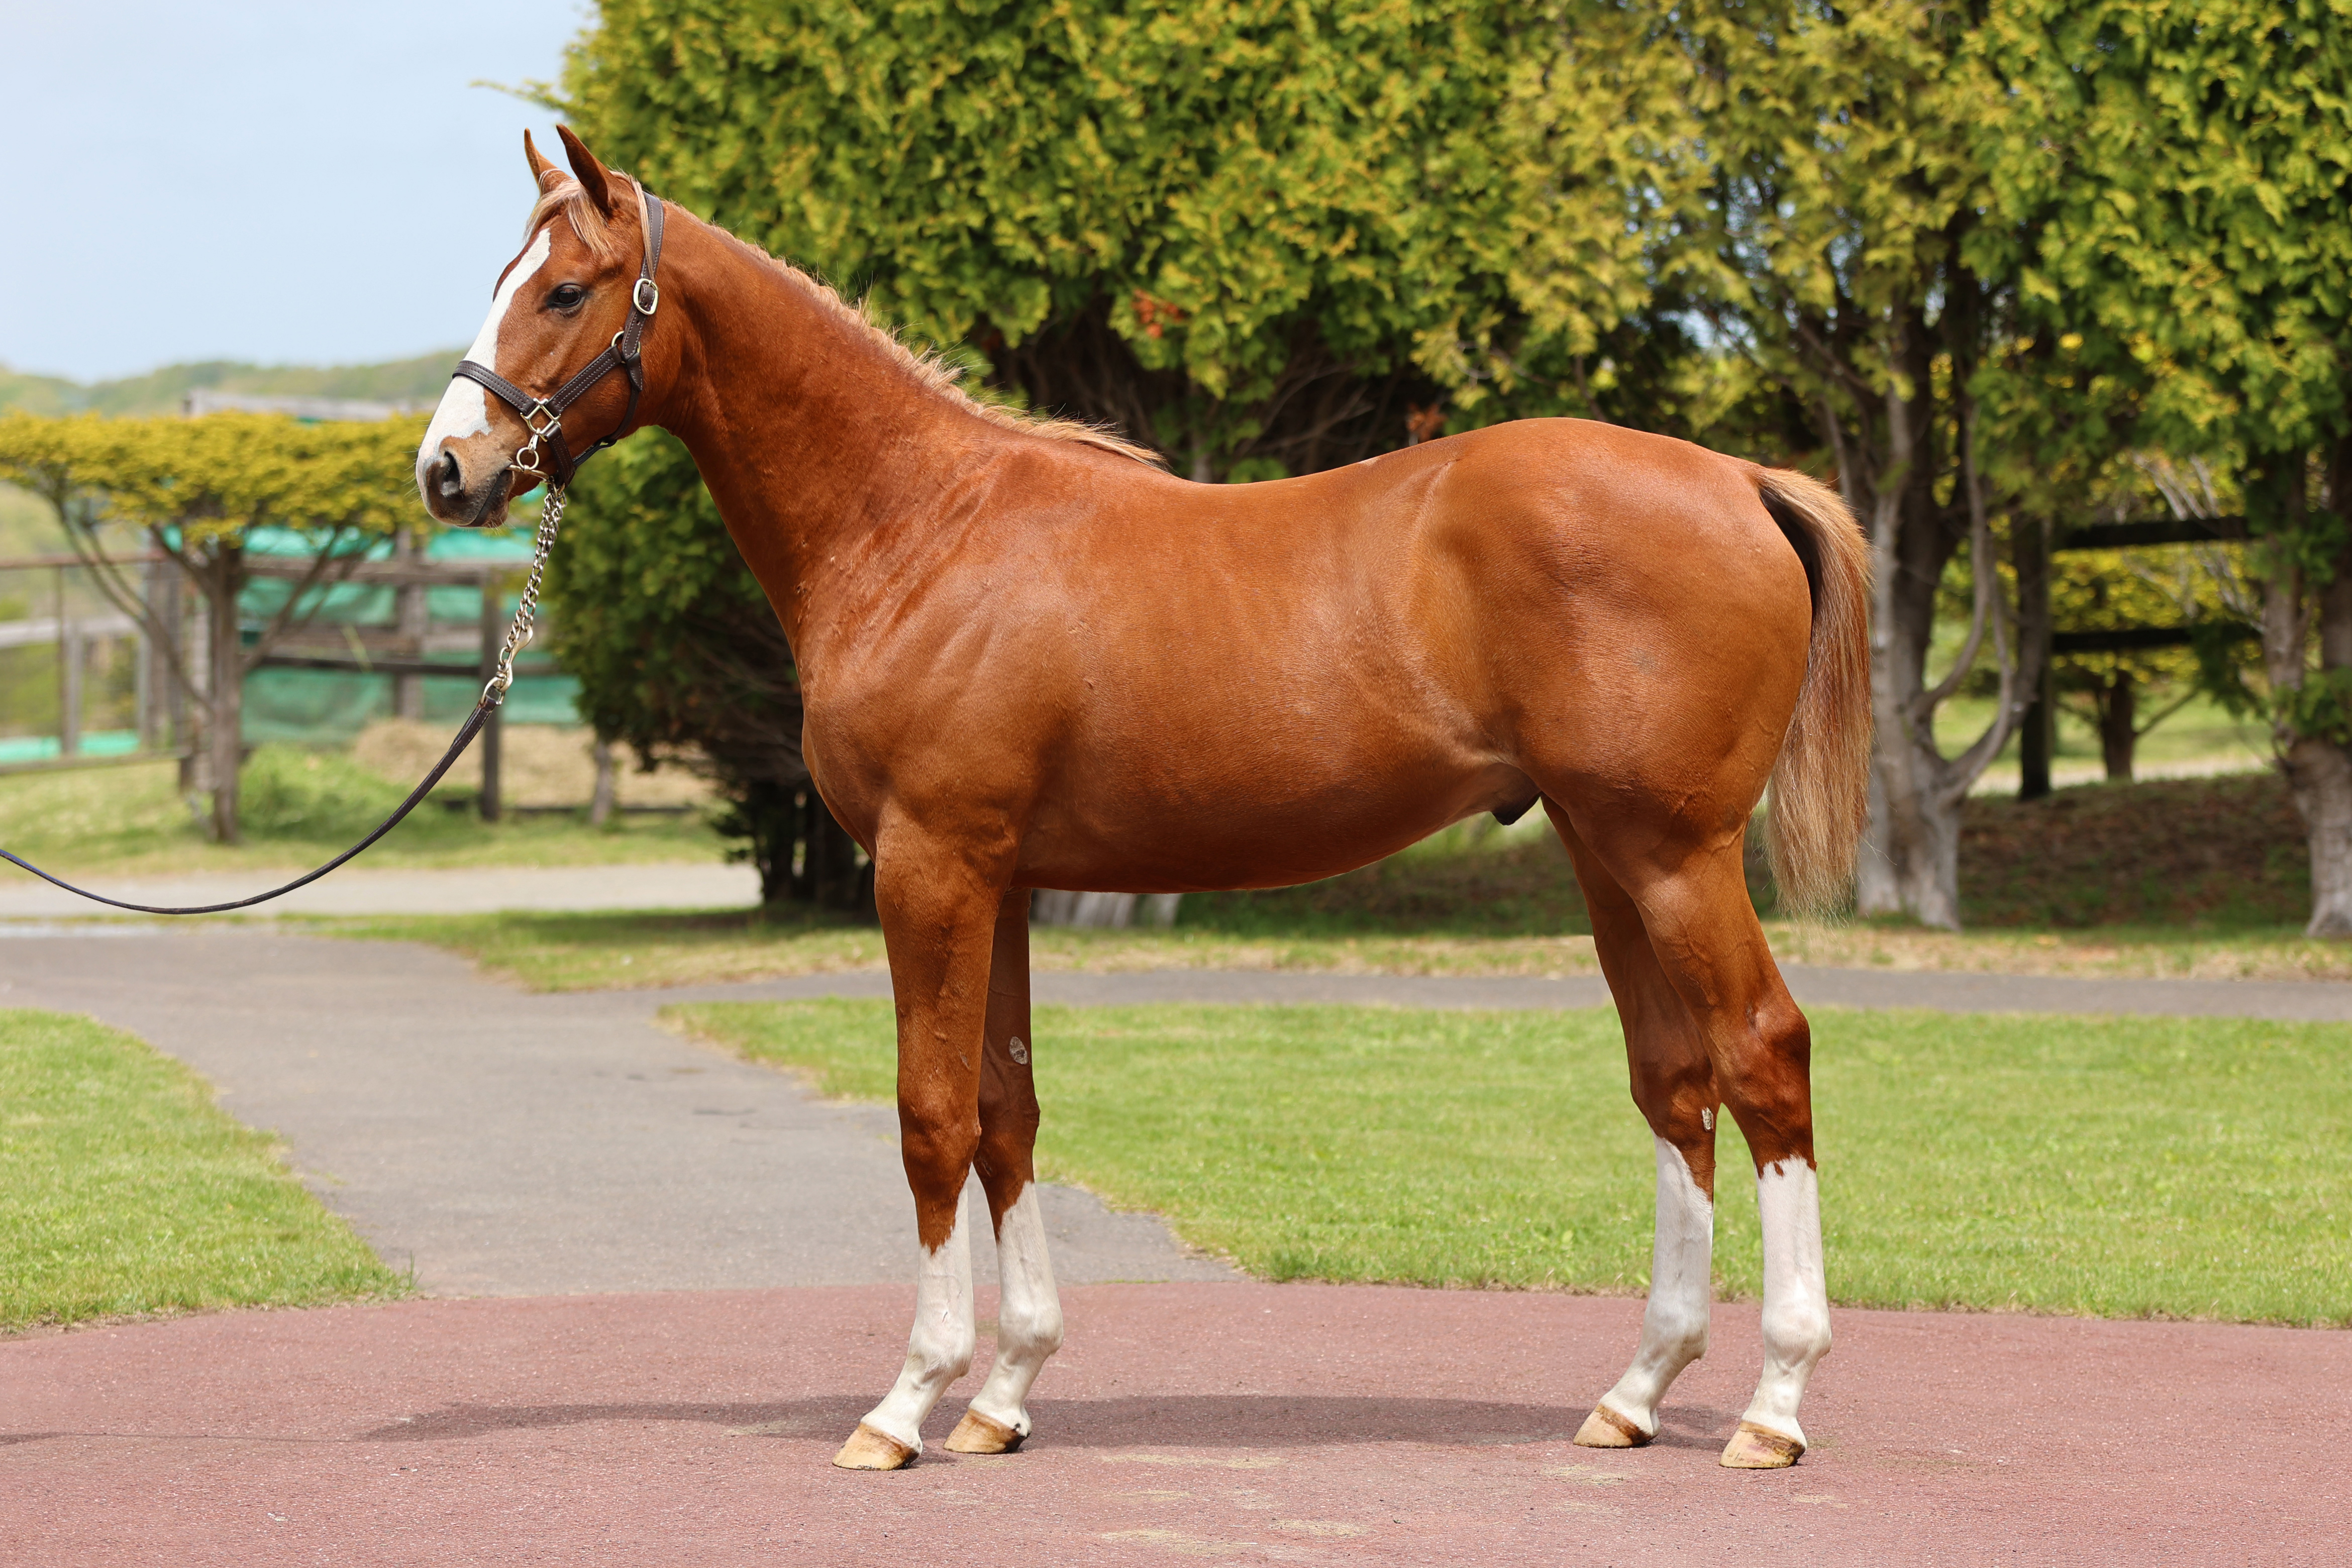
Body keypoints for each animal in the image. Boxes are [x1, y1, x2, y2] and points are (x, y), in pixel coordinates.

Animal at [417, 128, 1871, 1473]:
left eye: (565, 291)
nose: (447, 469)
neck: (919, 526)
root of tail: (1743, 481)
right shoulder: (995, 880)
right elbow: (1005, 1115)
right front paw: (1003, 1395)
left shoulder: (928, 867)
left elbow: (931, 1119)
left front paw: (906, 1403)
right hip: (1605, 851)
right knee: (1674, 1081)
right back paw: (1635, 1393)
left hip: (1676, 853)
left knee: (1763, 1055)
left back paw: (1775, 1403)